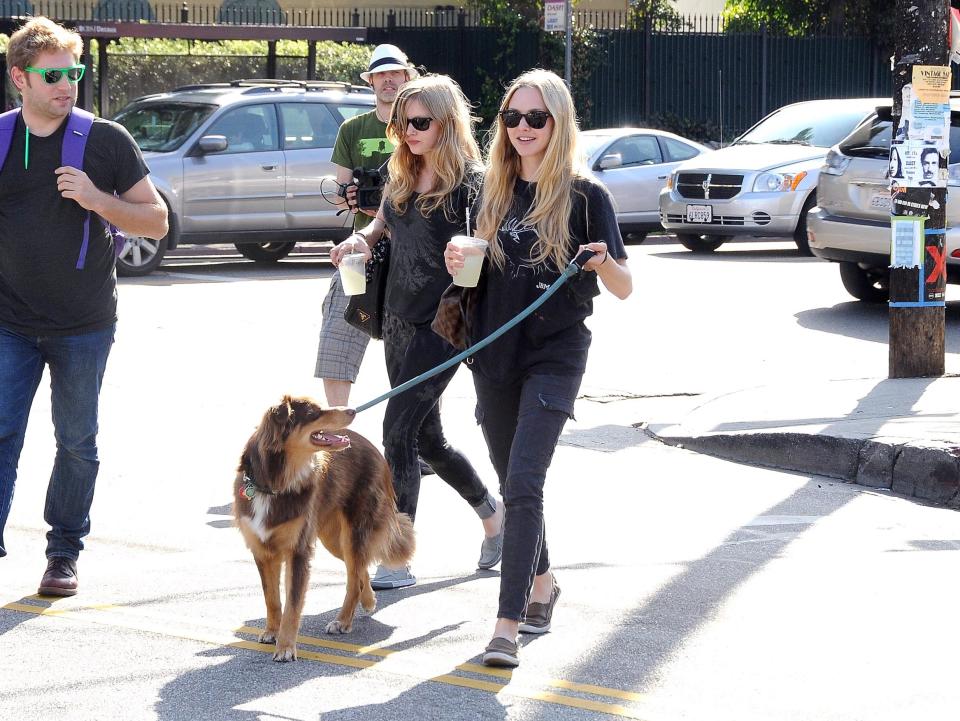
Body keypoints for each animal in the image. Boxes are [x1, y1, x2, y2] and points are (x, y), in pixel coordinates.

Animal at [235, 396, 416, 660]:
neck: (276, 484)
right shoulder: (262, 549)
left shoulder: (298, 550)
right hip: (333, 538)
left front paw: (286, 647)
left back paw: (343, 621)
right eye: (314, 412)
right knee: (359, 570)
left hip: (353, 533)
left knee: (354, 578)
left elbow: (292, 604)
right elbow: (272, 599)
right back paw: (369, 600)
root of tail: (374, 451)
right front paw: (271, 632)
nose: (352, 410)